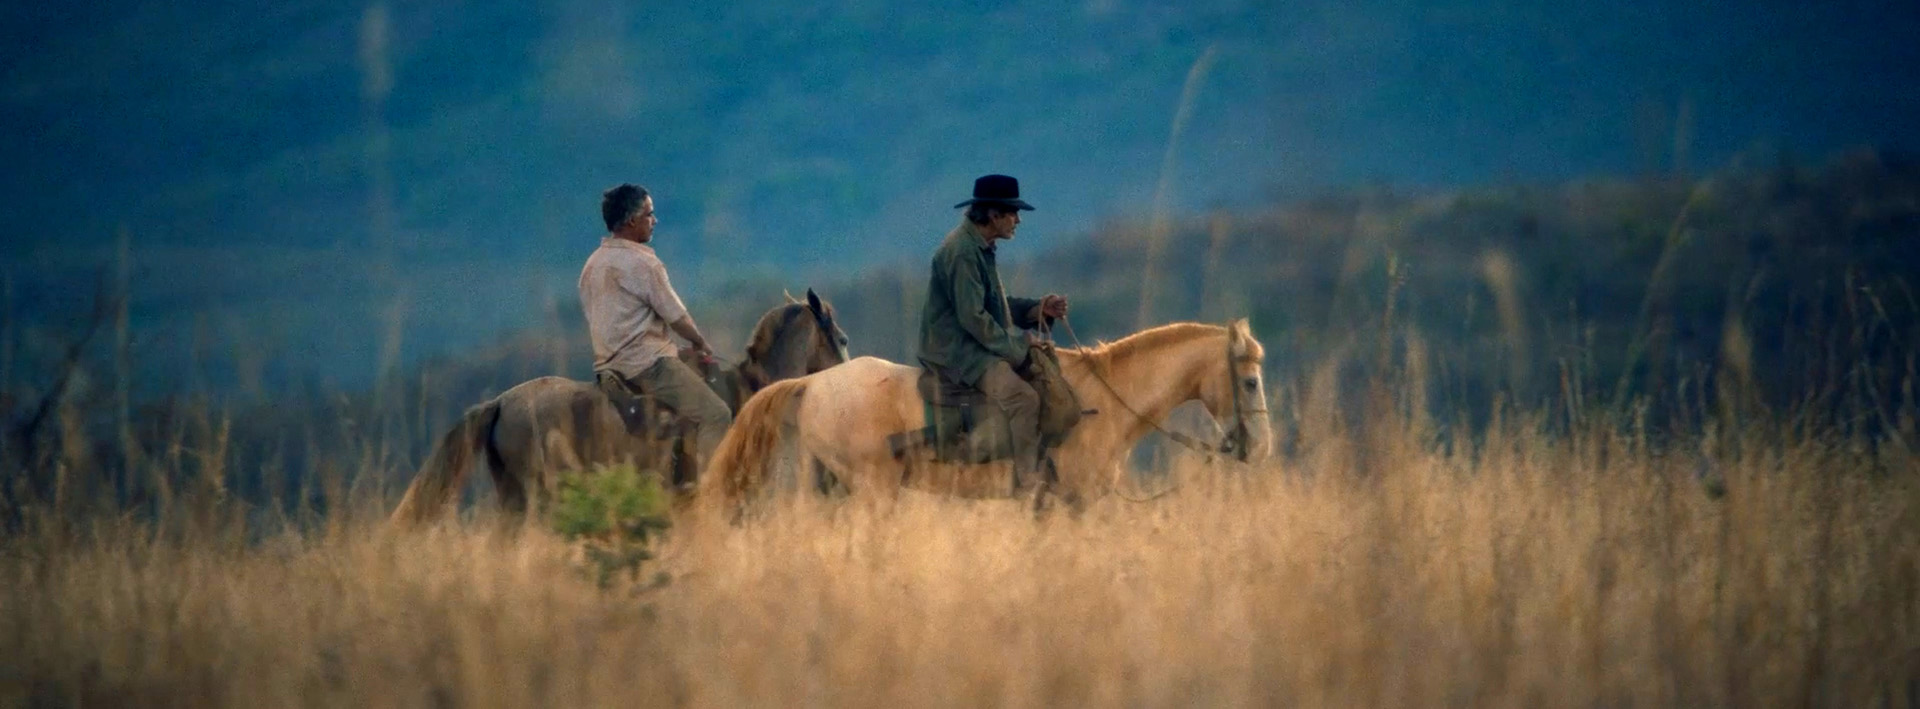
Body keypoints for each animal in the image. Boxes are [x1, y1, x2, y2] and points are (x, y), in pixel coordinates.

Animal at [698, 317, 1267, 511]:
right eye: (1250, 380)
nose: (1261, 448)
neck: (1103, 402)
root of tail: (814, 383)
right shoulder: (1077, 502)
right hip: (872, 491)